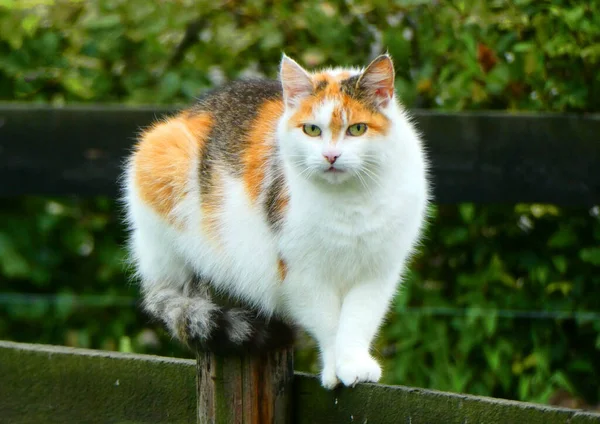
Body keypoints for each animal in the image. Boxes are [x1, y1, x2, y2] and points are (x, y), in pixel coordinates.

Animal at [123, 53, 432, 388]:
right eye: (312, 130)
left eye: (357, 129)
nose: (331, 156)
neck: (349, 204)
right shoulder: (301, 273)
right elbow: (327, 322)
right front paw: (333, 370)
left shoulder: (378, 270)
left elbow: (358, 319)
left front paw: (354, 365)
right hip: (161, 167)